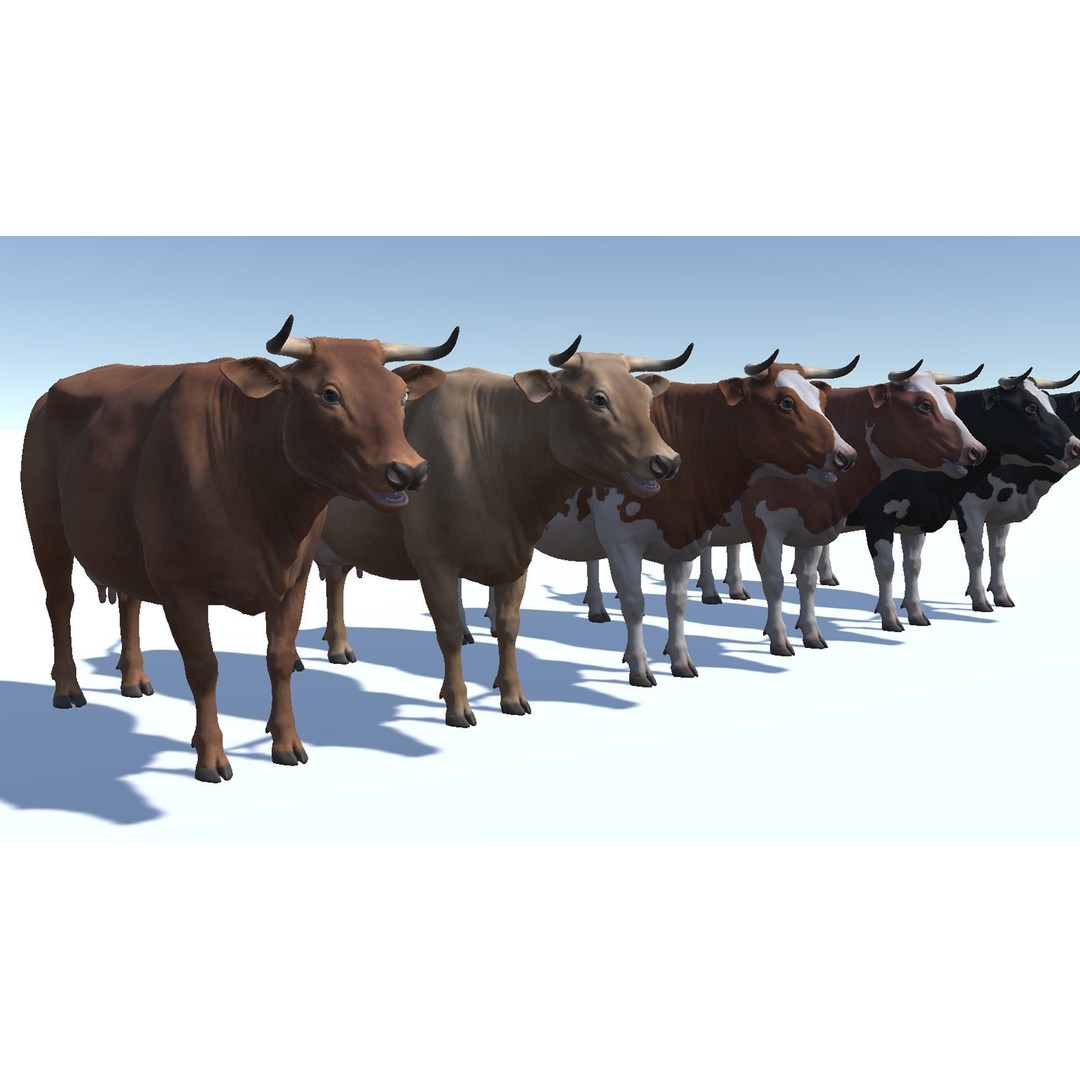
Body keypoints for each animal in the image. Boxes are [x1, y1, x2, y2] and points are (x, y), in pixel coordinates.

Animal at [21, 316, 455, 782]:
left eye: (402, 395)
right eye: (329, 393)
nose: (409, 470)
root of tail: (51, 393)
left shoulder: (295, 576)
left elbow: (280, 657)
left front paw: (286, 743)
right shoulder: (180, 584)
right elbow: (203, 667)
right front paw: (210, 756)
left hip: (124, 545)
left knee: (129, 601)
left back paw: (134, 680)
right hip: (45, 529)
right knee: (59, 602)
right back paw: (67, 689)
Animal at [313, 337, 687, 727]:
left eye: (646, 398)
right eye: (599, 399)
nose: (667, 461)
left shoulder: (516, 557)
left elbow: (509, 626)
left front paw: (512, 696)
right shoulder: (434, 561)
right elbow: (448, 630)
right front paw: (457, 705)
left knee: (335, 581)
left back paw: (338, 646)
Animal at [535, 352, 860, 685]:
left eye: (821, 400)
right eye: (785, 402)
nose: (846, 455)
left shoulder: (686, 536)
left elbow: (677, 603)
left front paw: (680, 660)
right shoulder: (621, 540)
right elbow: (635, 603)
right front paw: (639, 667)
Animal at [667, 363, 988, 653]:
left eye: (951, 403)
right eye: (924, 405)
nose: (978, 450)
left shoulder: (893, 522)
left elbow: (906, 566)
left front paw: (812, 632)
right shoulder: (770, 524)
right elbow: (777, 581)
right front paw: (780, 638)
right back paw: (711, 591)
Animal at [811, 367, 1080, 629]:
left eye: (1052, 405)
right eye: (1030, 408)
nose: (1075, 446)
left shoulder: (935, 515)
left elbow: (990, 553)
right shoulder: (890, 513)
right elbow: (971, 553)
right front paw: (979, 600)